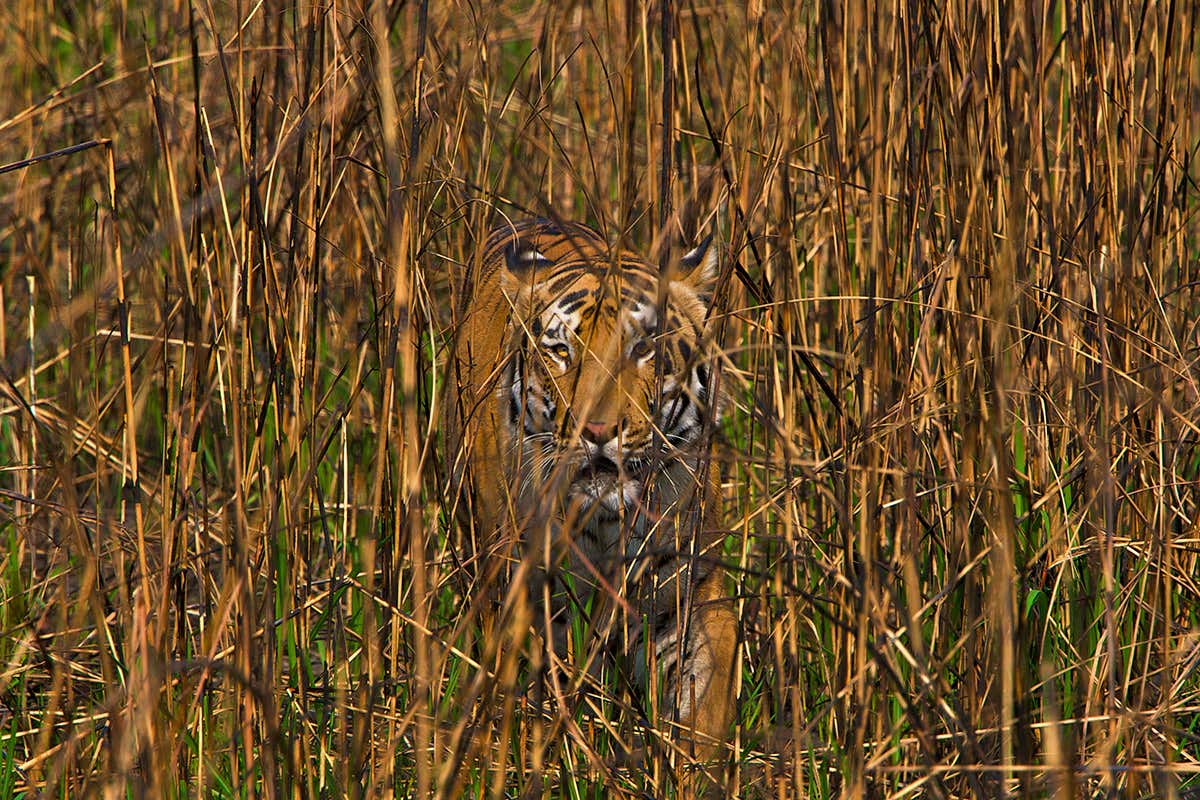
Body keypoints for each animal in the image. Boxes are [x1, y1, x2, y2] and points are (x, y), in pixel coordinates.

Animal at [444, 216, 735, 771]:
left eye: (643, 348)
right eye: (562, 351)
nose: (596, 431)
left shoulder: (685, 587)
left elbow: (703, 702)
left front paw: (693, 769)